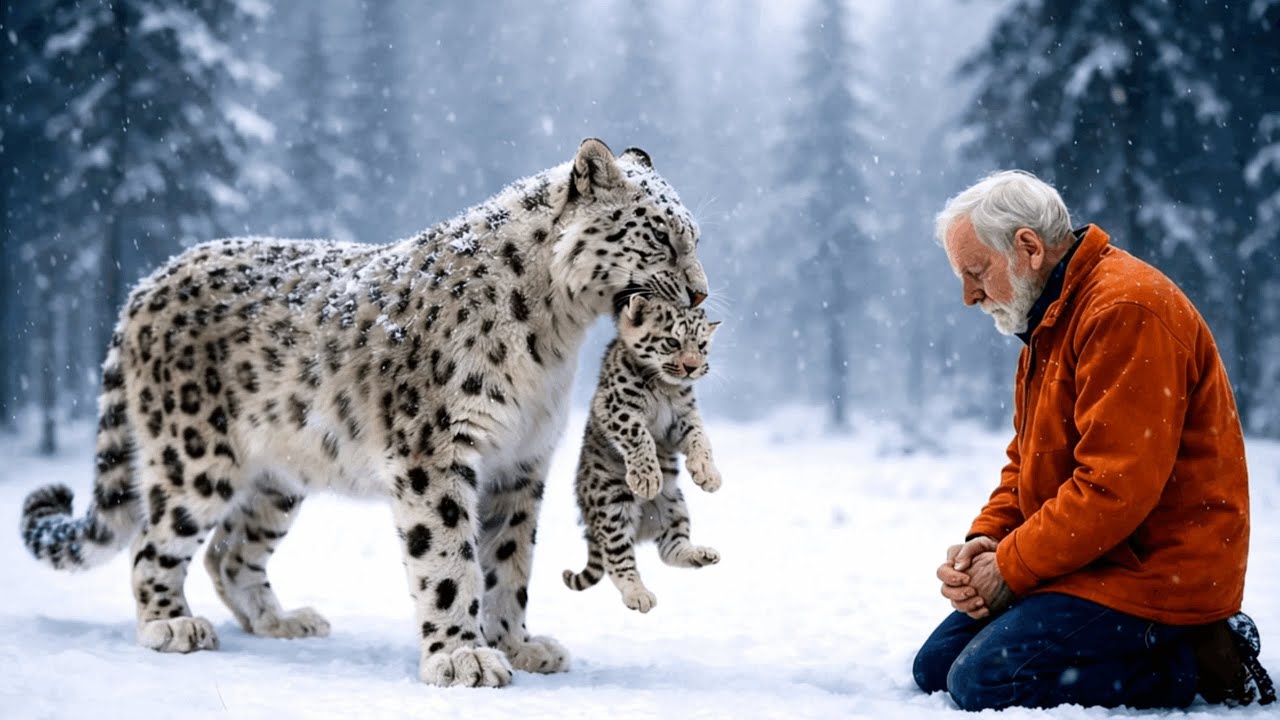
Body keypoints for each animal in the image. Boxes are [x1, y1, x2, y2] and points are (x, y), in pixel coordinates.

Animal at [562, 294, 722, 613]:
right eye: (672, 342)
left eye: (701, 346)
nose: (691, 366)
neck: (665, 388)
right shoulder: (617, 408)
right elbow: (640, 436)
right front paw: (647, 480)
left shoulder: (683, 418)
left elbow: (700, 437)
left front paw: (708, 474)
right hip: (612, 507)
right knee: (618, 559)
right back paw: (638, 594)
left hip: (675, 508)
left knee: (671, 549)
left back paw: (701, 554)